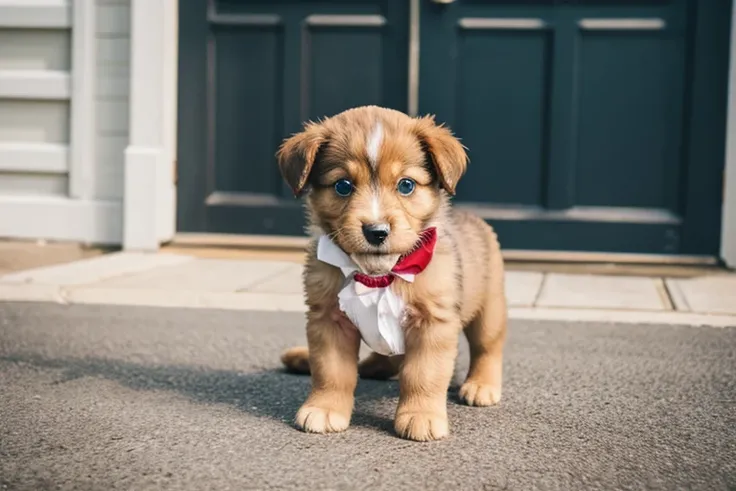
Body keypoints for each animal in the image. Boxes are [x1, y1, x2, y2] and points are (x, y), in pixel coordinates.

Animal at [276, 105, 506, 444]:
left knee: (487, 348)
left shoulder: (432, 324)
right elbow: (332, 373)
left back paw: (481, 385)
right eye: (343, 185)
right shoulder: (329, 320)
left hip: (489, 310)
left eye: (406, 185)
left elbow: (423, 374)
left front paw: (421, 415)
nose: (376, 231)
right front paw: (325, 408)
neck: (378, 275)